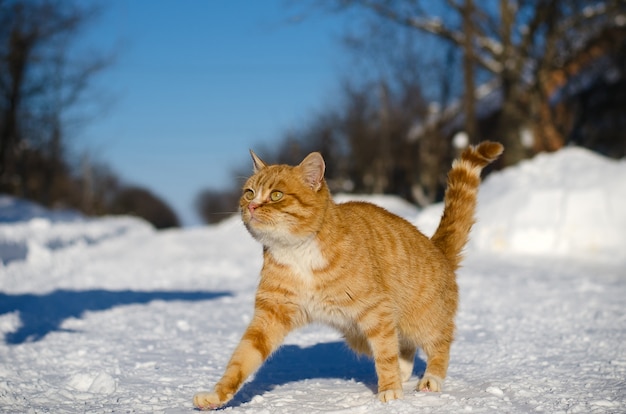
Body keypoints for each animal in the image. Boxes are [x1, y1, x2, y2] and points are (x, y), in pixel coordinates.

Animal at [194, 141, 502, 410]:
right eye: (249, 192)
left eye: (276, 195)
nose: (251, 206)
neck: (298, 252)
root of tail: (436, 246)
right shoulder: (271, 314)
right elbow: (241, 358)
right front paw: (216, 396)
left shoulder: (376, 310)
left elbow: (386, 354)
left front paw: (390, 390)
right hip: (362, 336)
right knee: (404, 346)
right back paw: (403, 373)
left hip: (420, 319)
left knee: (438, 343)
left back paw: (430, 379)